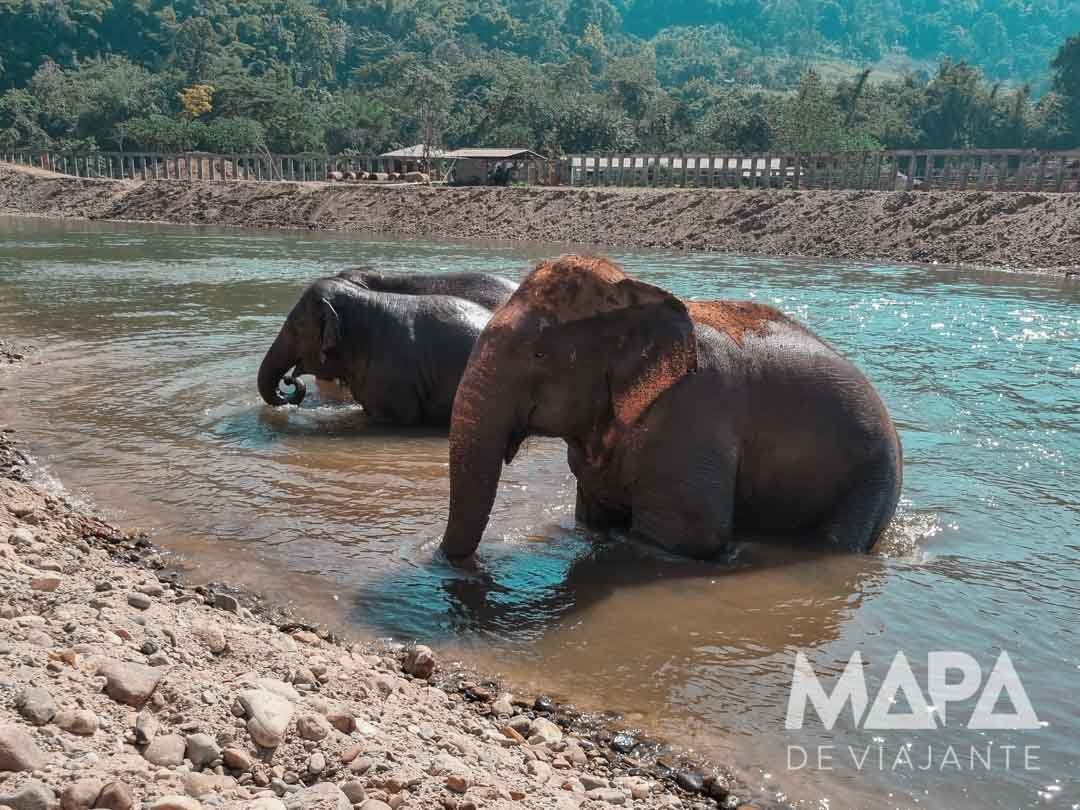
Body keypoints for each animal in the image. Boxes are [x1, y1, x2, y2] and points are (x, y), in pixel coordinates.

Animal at [440, 255, 902, 561]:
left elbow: (685, 538)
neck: (636, 294)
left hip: (871, 480)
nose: (451, 563)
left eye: (538, 354)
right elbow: (591, 519)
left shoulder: (691, 422)